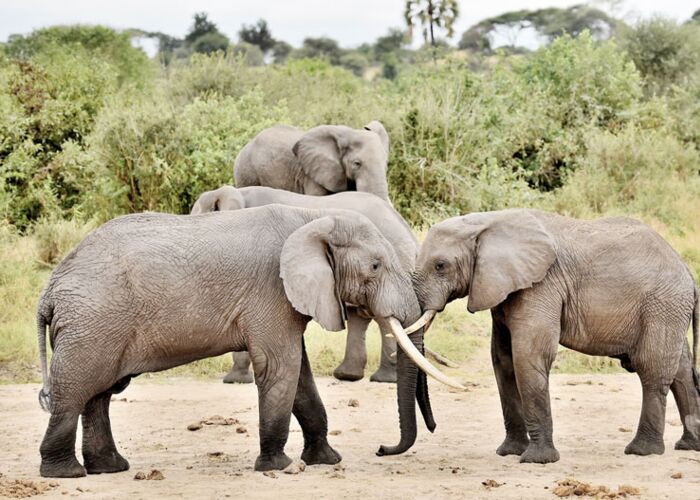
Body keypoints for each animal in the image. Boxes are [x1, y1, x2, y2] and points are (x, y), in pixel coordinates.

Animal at [410, 208, 700, 464]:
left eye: (440, 266)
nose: (433, 428)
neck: (487, 221)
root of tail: (687, 271)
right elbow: (503, 361)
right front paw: (509, 453)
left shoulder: (542, 285)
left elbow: (528, 356)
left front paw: (536, 460)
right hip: (669, 308)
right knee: (681, 369)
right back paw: (689, 445)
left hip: (662, 305)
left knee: (652, 369)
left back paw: (642, 451)